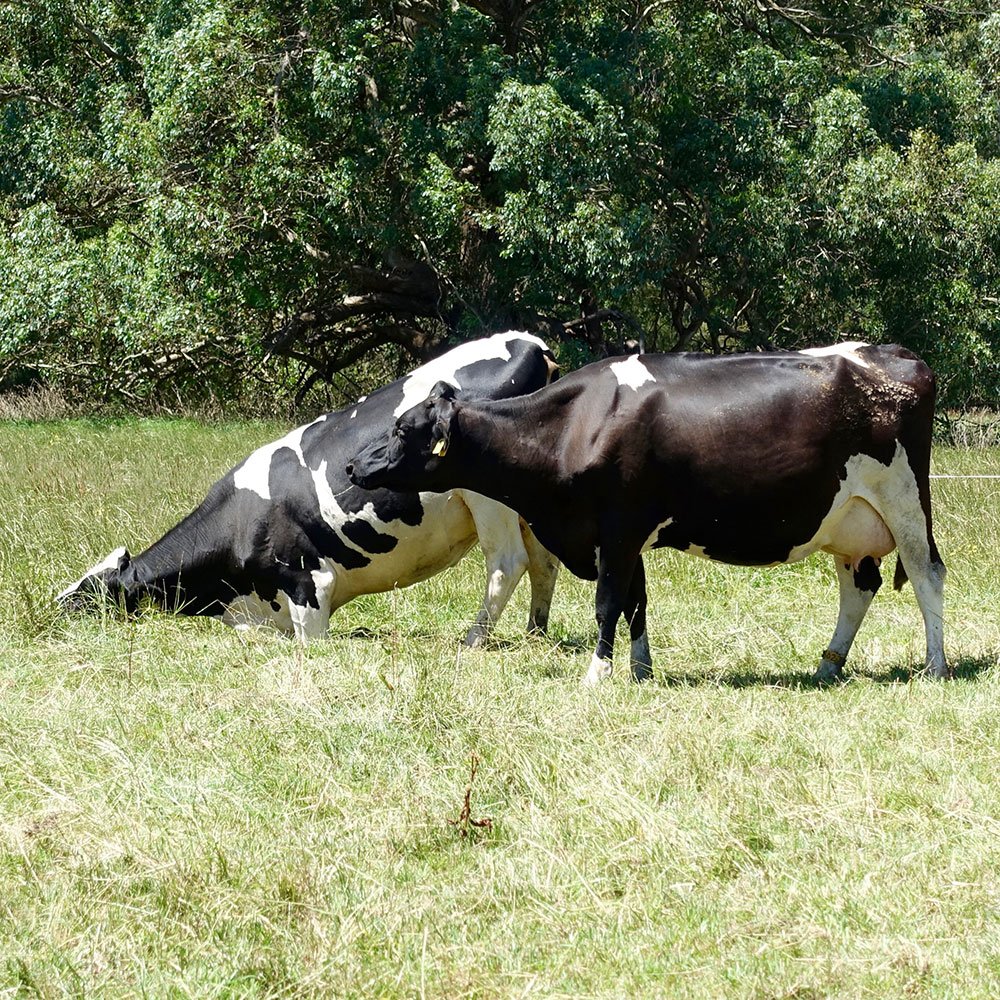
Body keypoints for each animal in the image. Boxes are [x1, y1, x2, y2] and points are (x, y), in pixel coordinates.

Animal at [58, 332, 561, 646]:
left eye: (89, 592)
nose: (51, 611)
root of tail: (530, 343)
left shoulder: (310, 588)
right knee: (544, 561)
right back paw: (536, 633)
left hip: (488, 499)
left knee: (507, 563)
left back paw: (473, 639)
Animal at [347, 342, 947, 683]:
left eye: (403, 428)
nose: (353, 465)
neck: (573, 424)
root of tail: (900, 354)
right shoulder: (625, 536)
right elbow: (637, 603)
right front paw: (640, 670)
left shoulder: (617, 528)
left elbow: (608, 603)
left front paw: (597, 674)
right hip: (848, 519)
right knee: (858, 586)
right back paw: (828, 664)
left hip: (905, 498)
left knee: (927, 574)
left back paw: (935, 666)